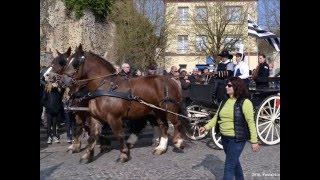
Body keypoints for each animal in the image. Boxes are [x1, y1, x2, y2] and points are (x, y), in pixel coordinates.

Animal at [61, 44, 190, 162]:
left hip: (170, 109)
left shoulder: (114, 117)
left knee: (176, 123)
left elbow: (119, 135)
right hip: (157, 111)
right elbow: (93, 136)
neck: (105, 87)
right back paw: (161, 148)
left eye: (75, 62)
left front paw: (123, 154)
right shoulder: (95, 117)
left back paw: (178, 142)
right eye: (67, 61)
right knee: (163, 126)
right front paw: (87, 155)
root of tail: (173, 81)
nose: (62, 81)